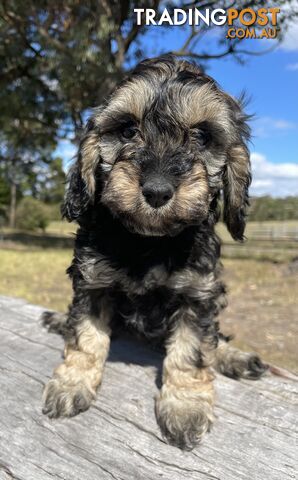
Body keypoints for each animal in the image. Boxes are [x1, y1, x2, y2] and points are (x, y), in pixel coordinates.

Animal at [42, 55, 268, 450]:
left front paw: (185, 407)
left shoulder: (198, 292)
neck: (150, 241)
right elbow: (85, 336)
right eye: (127, 130)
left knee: (215, 339)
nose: (158, 190)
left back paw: (234, 357)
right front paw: (71, 383)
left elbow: (192, 350)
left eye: (202, 135)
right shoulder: (92, 281)